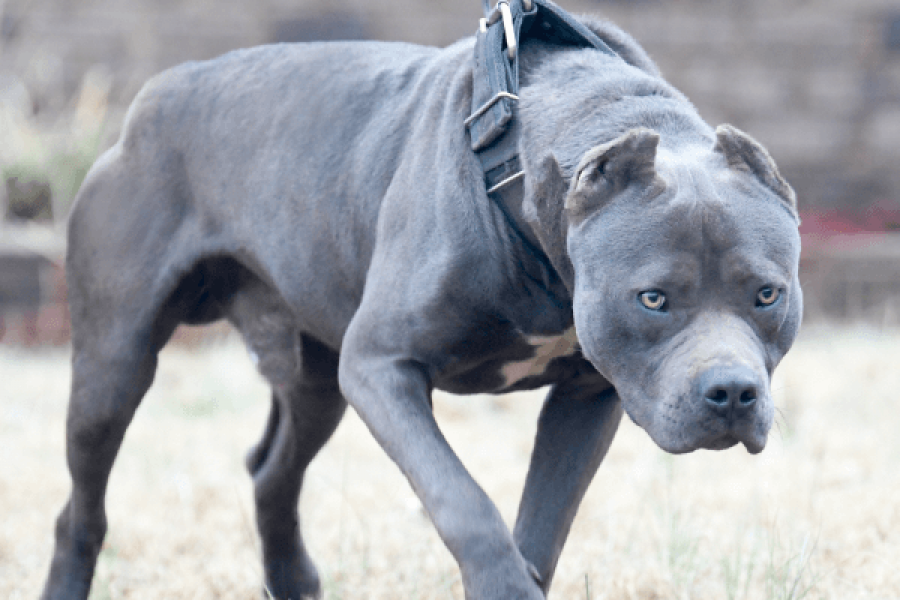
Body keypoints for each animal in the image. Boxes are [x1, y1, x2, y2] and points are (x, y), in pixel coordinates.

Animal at [42, 9, 800, 600]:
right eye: (653, 299)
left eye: (768, 294)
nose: (732, 393)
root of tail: (155, 96)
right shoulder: (381, 366)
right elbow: (462, 501)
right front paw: (501, 584)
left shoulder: (589, 394)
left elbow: (543, 523)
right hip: (116, 364)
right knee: (83, 505)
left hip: (317, 378)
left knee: (272, 473)